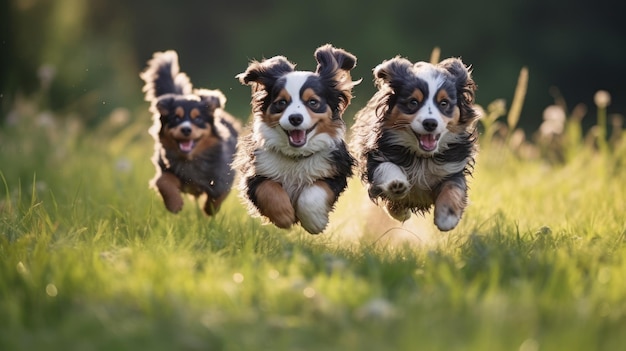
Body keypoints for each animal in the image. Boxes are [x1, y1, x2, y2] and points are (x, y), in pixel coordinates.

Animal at [140, 50, 239, 216]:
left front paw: (210, 210)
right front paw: (174, 204)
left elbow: (218, 193)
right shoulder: (165, 166)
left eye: (198, 118)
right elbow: (163, 181)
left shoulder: (224, 174)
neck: (191, 159)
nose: (186, 129)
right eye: (176, 118)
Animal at [234, 44, 358, 236]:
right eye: (281, 102)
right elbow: (268, 188)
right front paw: (285, 216)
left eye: (313, 102)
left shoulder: (336, 170)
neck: (295, 157)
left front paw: (315, 222)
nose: (295, 118)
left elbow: (312, 194)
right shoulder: (255, 170)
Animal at [348, 56, 476, 232]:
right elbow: (386, 168)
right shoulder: (376, 155)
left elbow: (453, 188)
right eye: (413, 102)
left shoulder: (452, 167)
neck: (422, 158)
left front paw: (447, 219)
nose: (430, 123)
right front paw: (396, 186)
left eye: (444, 103)